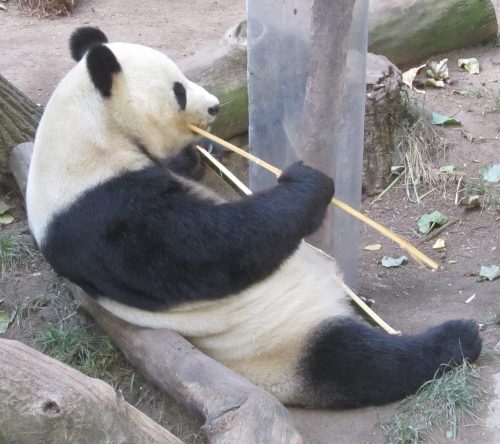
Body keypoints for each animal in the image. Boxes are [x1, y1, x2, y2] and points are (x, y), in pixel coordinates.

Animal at [26, 26, 480, 410]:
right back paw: (457, 339)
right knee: (356, 363)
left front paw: (201, 154)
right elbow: (213, 250)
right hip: (278, 343)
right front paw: (308, 183)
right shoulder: (102, 213)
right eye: (178, 90)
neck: (88, 131)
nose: (214, 106)